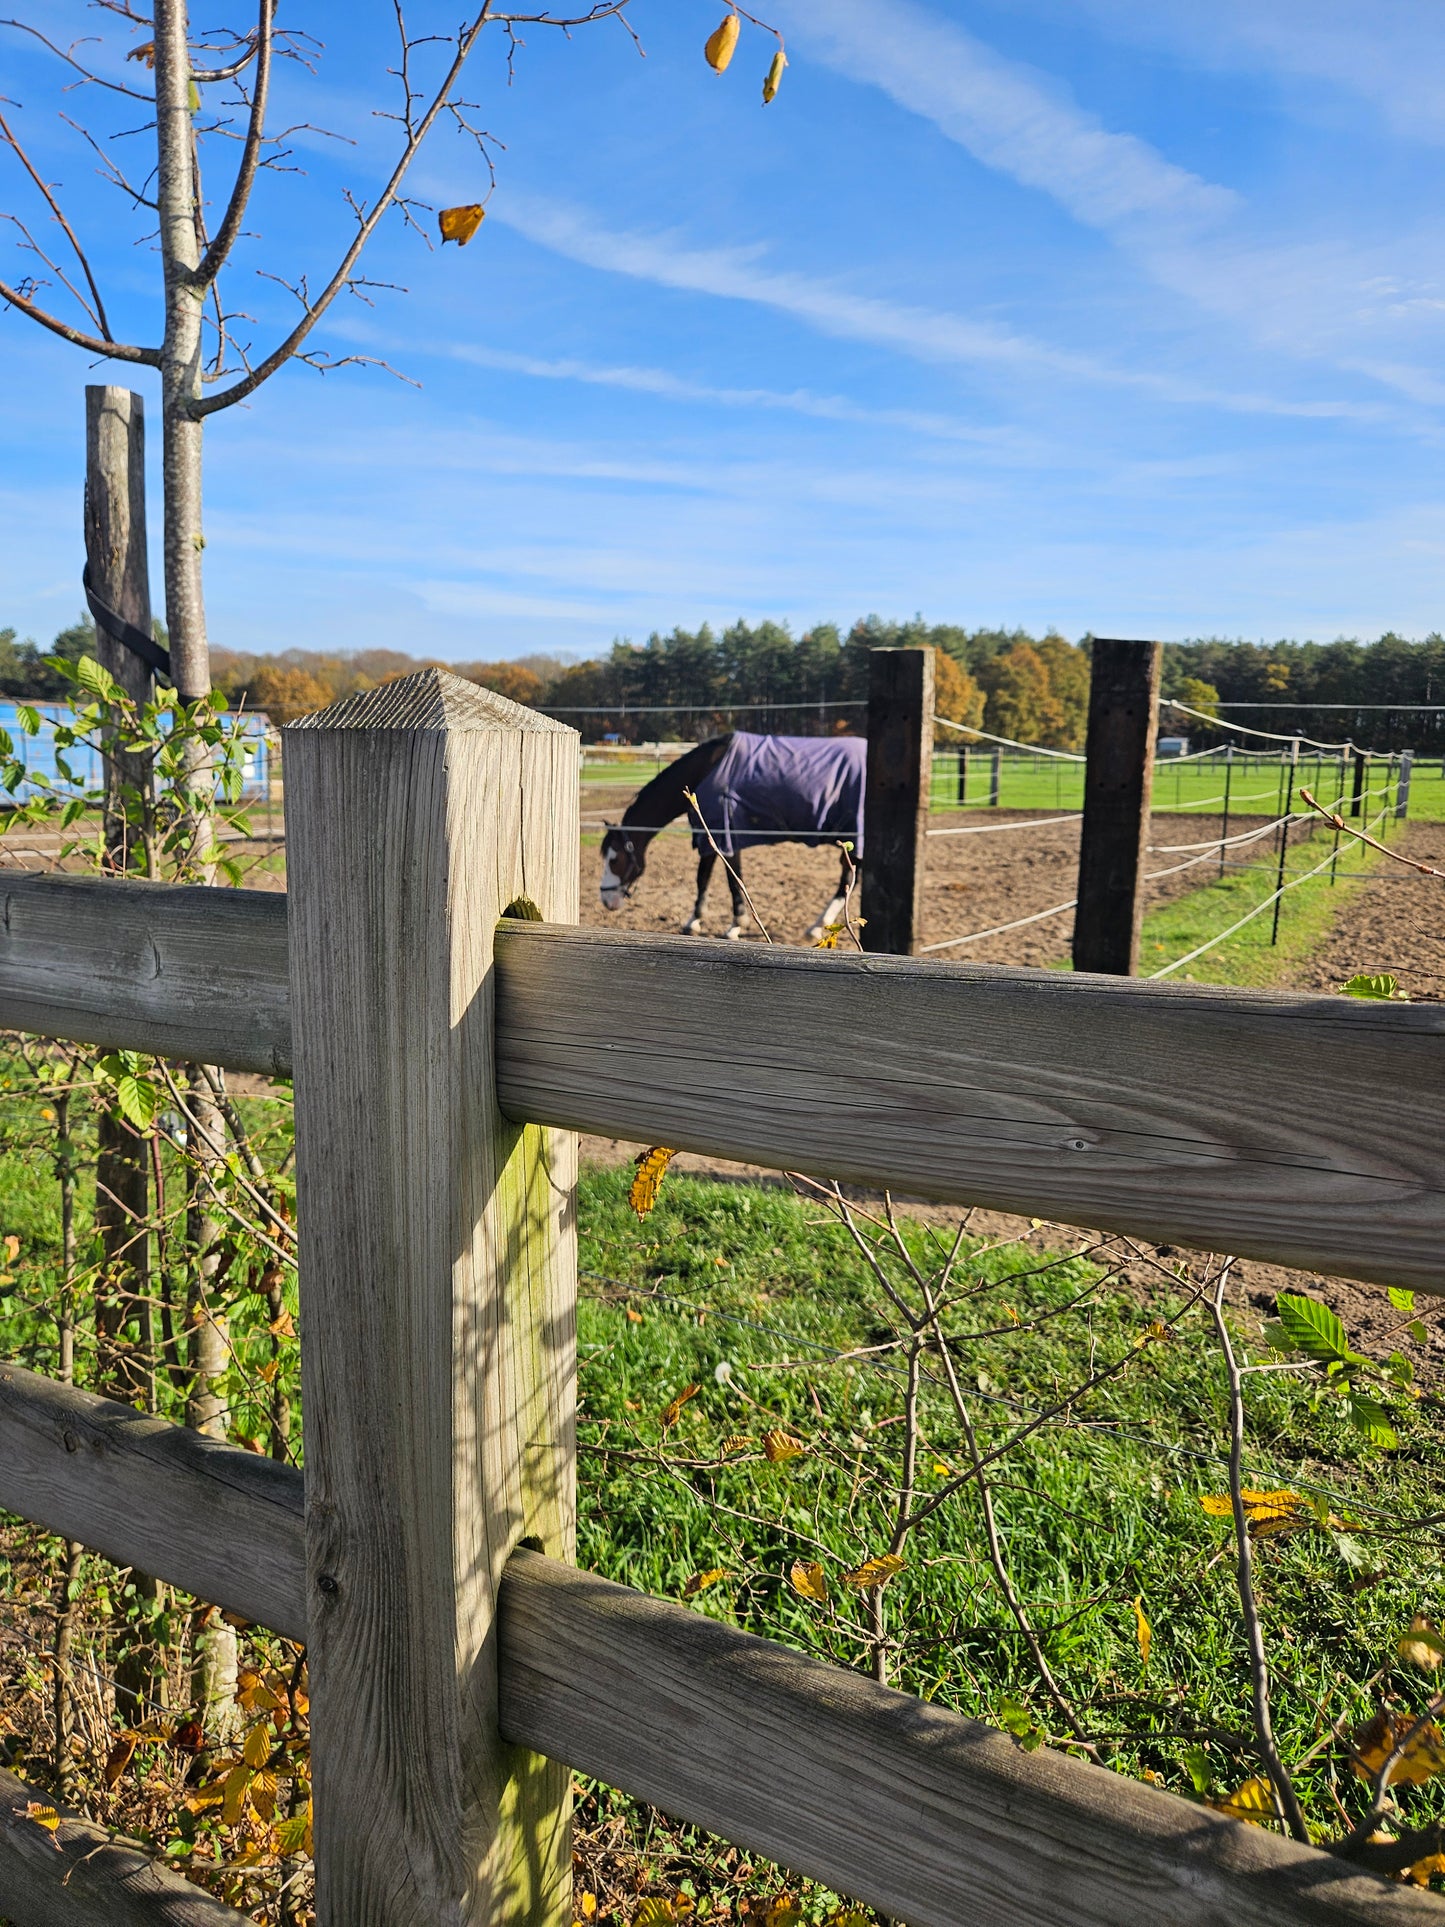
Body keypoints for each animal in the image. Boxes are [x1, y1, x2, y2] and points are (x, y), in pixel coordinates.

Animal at [598, 731, 865, 939]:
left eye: (615, 860)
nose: (606, 900)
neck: (706, 771)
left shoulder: (726, 837)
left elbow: (732, 879)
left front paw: (735, 925)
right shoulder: (709, 837)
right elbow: (702, 878)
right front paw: (693, 921)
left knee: (847, 879)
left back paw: (817, 926)